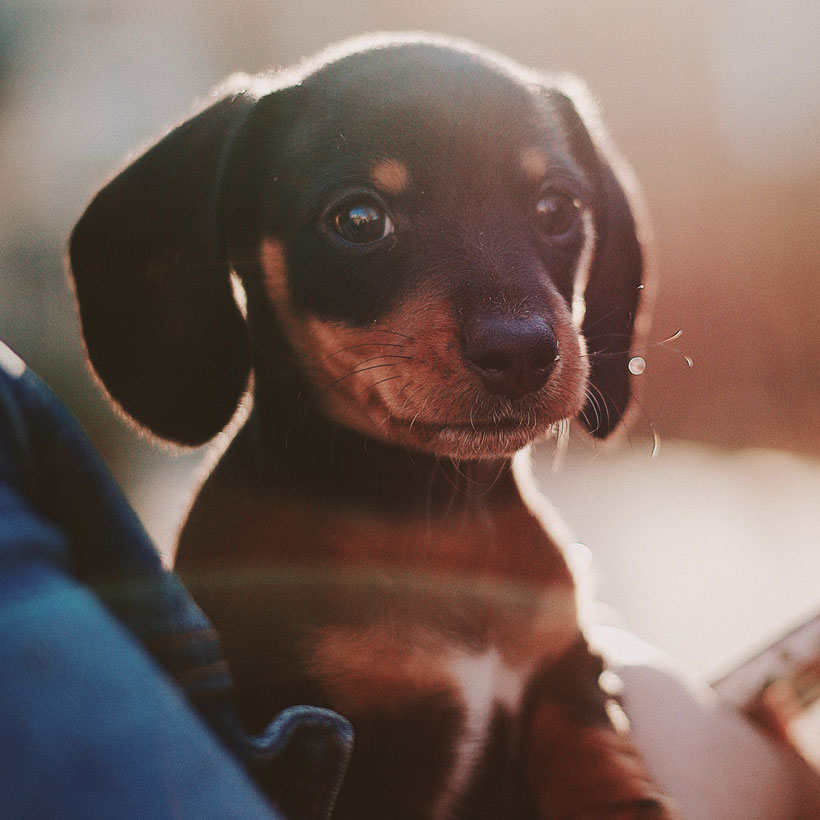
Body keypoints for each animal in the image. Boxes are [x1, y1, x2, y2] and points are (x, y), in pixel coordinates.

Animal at [69, 32, 672, 820]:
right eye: (358, 220)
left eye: (557, 208)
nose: (521, 352)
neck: (432, 520)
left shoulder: (567, 676)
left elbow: (602, 766)